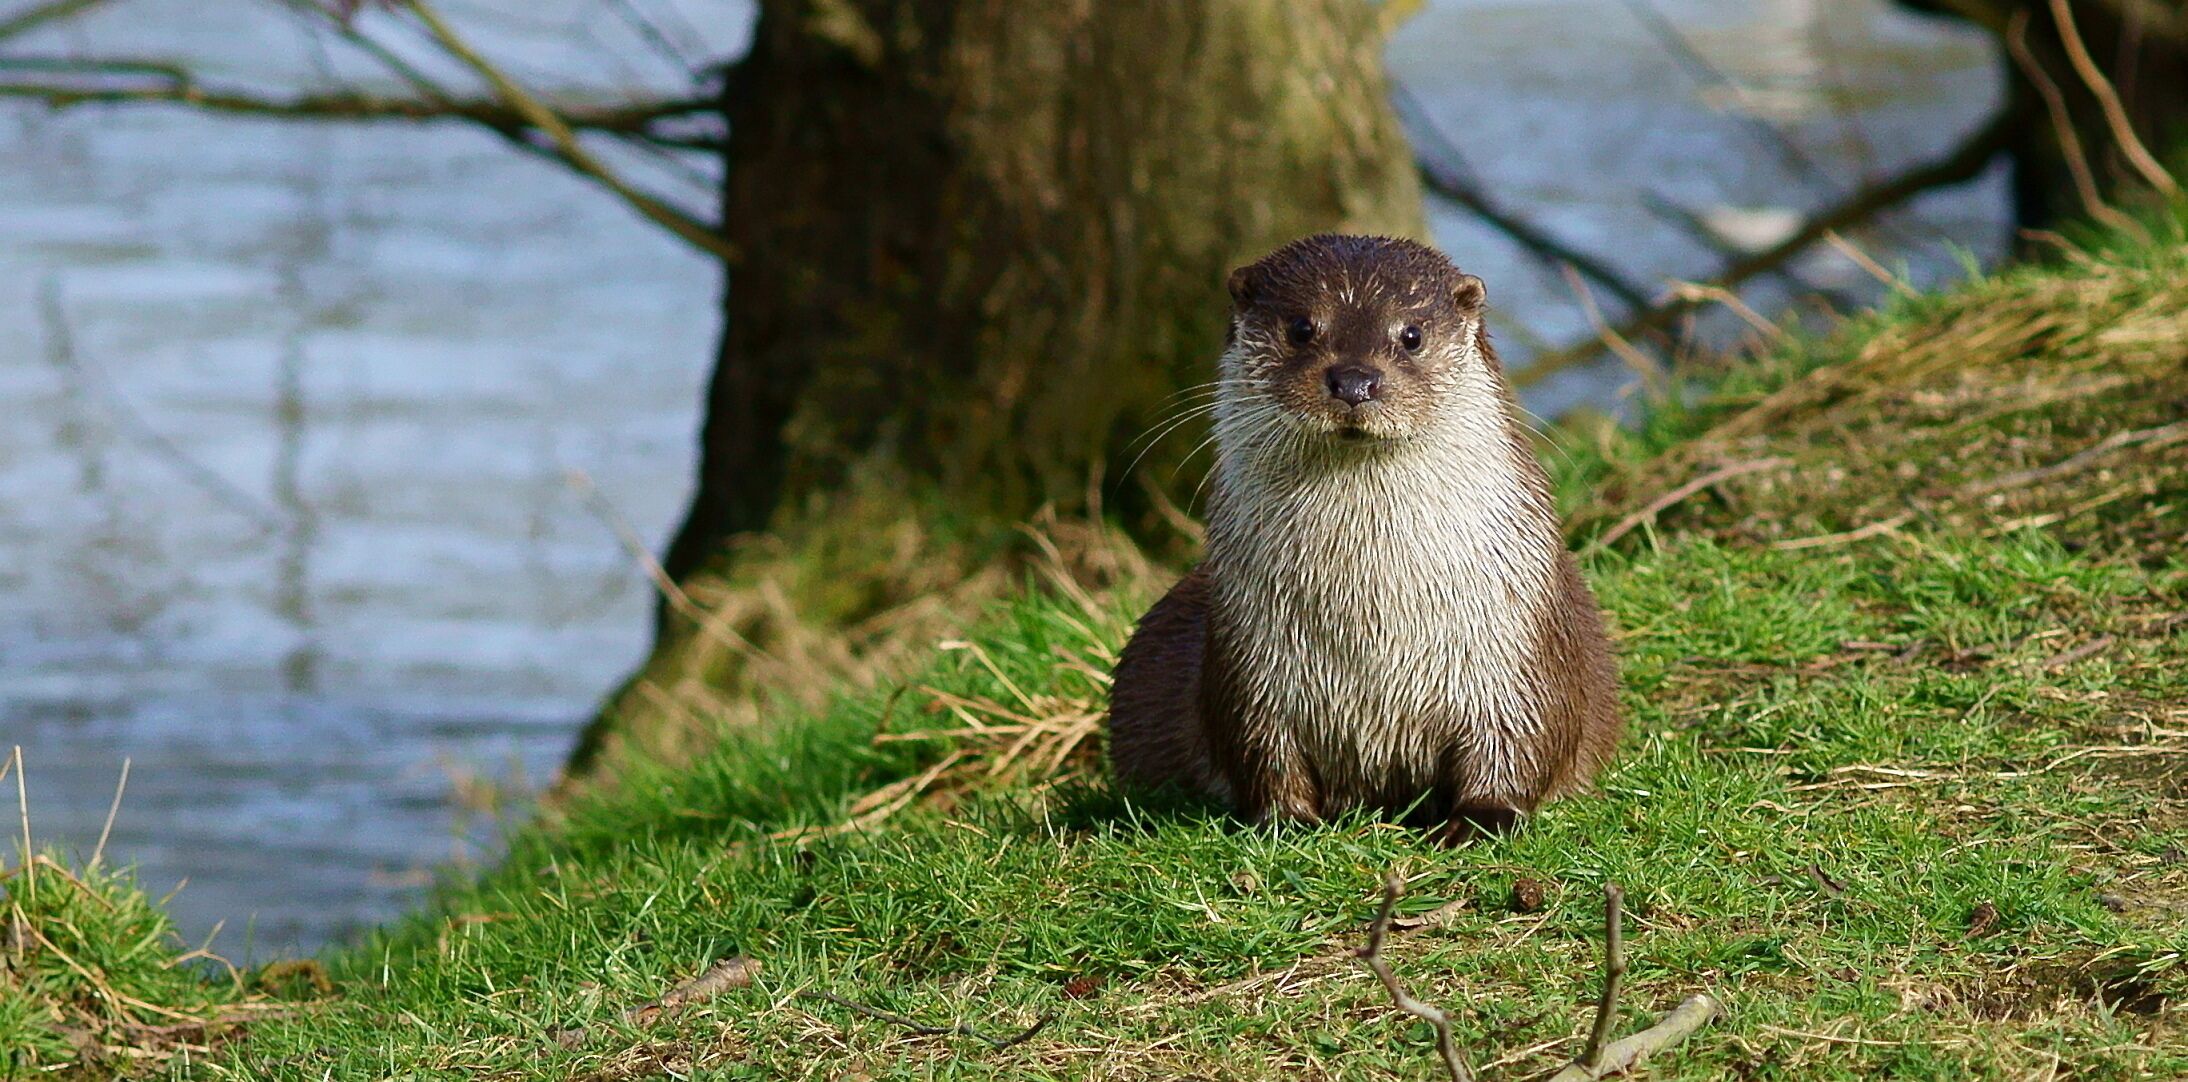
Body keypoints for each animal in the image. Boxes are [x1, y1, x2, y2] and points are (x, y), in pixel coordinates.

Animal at [1107, 234, 1621, 839]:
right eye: (1302, 327)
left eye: (1412, 334)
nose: (1354, 380)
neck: (1373, 633)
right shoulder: (1249, 663)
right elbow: (1259, 750)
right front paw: (1287, 821)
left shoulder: (1516, 646)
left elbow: (1526, 734)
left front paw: (1480, 819)